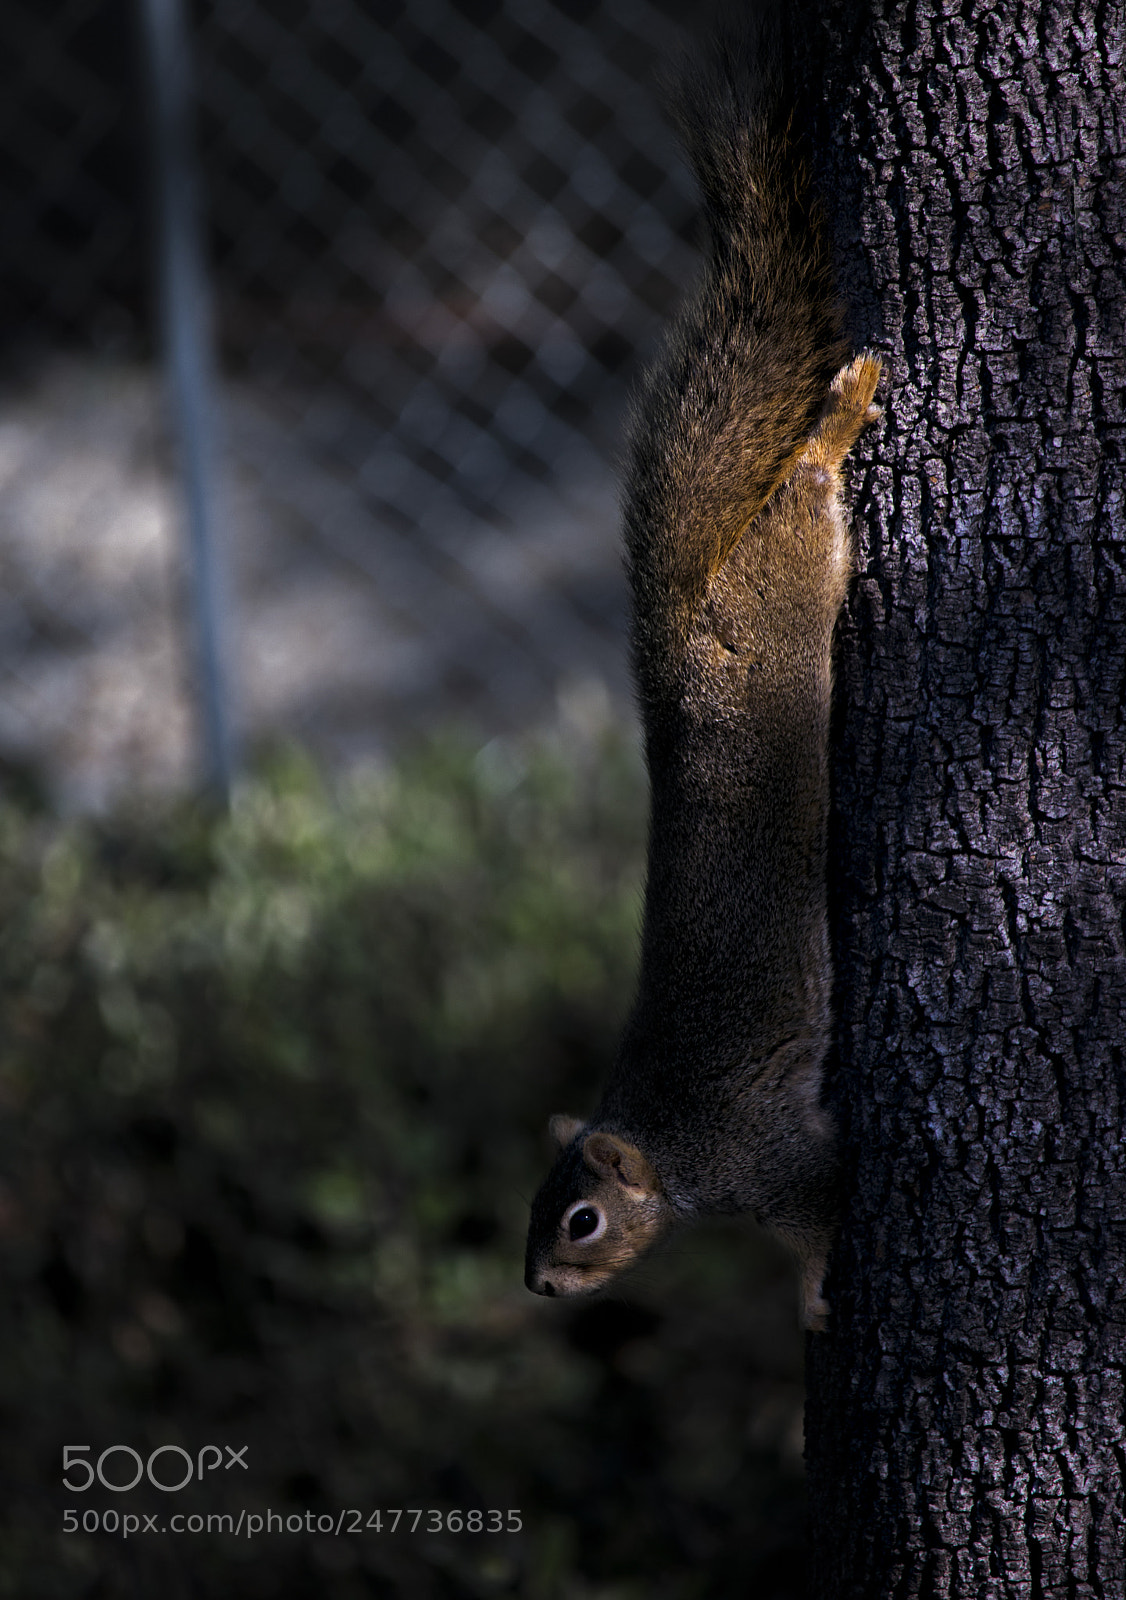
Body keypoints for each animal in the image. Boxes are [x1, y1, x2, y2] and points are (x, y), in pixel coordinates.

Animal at [524, 29, 881, 1332]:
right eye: (535, 1213)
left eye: (581, 1218)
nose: (539, 1285)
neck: (669, 1154)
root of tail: (677, 647)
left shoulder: (762, 1154)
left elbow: (824, 1205)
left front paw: (815, 1296)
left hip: (785, 593)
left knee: (806, 489)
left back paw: (842, 410)